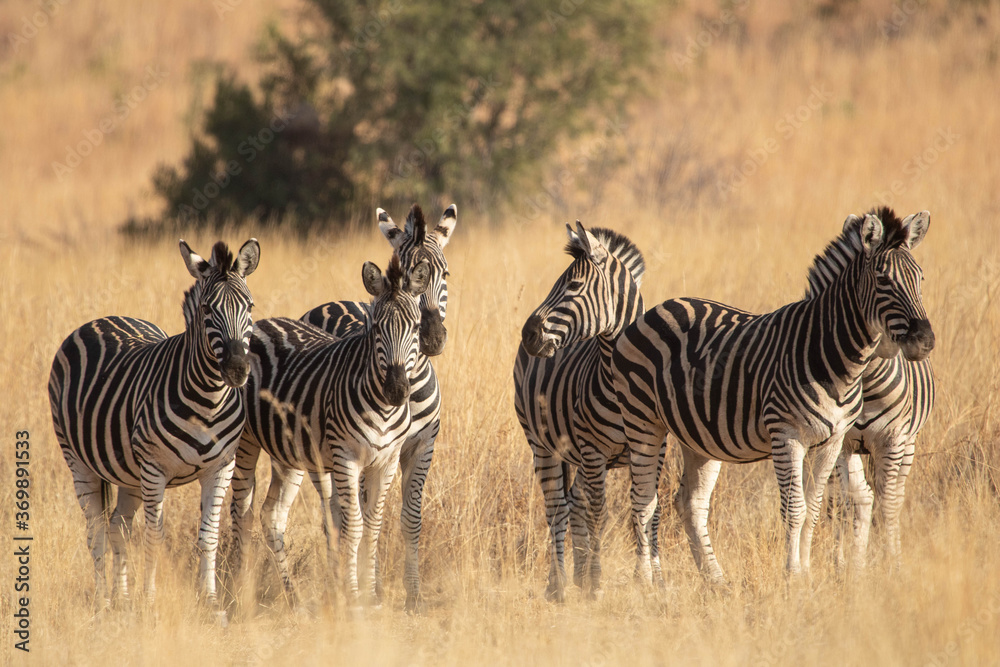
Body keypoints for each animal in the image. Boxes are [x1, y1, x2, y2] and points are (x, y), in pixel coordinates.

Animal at [48, 239, 260, 617]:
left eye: (249, 306)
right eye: (207, 309)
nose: (237, 370)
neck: (208, 399)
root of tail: (103, 318)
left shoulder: (221, 467)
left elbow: (209, 535)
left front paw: (210, 602)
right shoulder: (154, 469)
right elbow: (154, 537)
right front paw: (150, 602)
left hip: (129, 474)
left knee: (117, 526)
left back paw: (122, 599)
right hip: (79, 461)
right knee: (96, 531)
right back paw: (103, 601)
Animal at [231, 203, 455, 612]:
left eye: (445, 273)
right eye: (401, 267)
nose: (432, 338)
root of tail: (334, 301)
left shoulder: (420, 446)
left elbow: (407, 519)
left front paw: (411, 594)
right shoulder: (354, 453)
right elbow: (356, 519)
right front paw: (366, 590)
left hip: (293, 452)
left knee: (280, 513)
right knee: (307, 513)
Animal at [515, 222, 655, 602]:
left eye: (574, 286)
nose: (528, 334)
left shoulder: (653, 446)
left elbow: (645, 510)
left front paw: (651, 578)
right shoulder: (594, 450)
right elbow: (599, 515)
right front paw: (596, 581)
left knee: (574, 503)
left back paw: (575, 576)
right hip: (543, 446)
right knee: (557, 509)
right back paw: (559, 584)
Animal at [613, 208, 934, 583]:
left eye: (920, 278)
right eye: (883, 280)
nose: (924, 341)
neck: (834, 357)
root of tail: (655, 309)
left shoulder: (834, 441)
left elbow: (814, 508)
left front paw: (807, 573)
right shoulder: (787, 435)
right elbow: (794, 509)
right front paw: (792, 575)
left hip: (698, 438)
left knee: (690, 503)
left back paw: (715, 580)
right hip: (643, 422)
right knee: (643, 501)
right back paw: (647, 582)